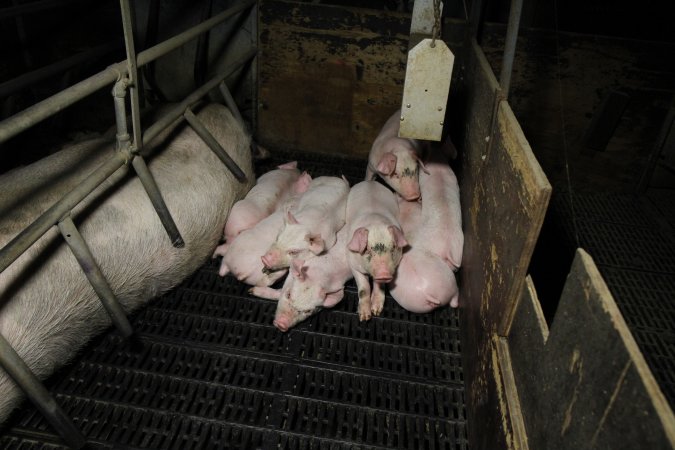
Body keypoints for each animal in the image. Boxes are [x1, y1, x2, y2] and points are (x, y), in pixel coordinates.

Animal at [348, 181, 406, 322]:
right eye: (367, 250)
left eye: (392, 248)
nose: (384, 273)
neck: (375, 222)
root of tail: (370, 182)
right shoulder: (353, 265)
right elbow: (363, 289)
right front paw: (365, 318)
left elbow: (379, 286)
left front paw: (376, 311)